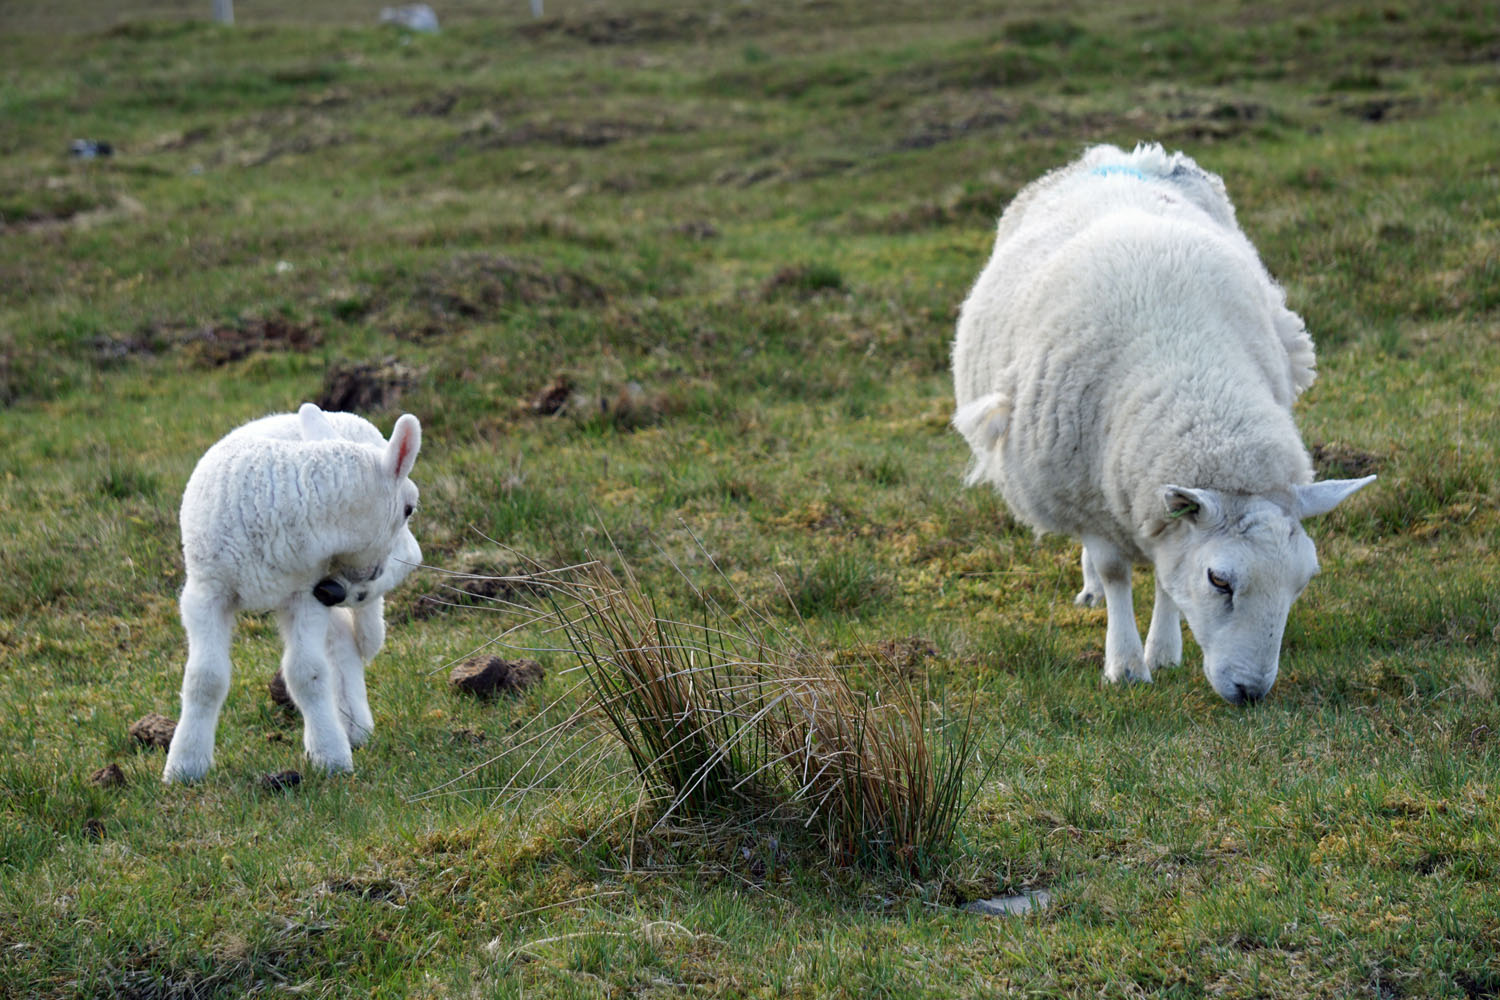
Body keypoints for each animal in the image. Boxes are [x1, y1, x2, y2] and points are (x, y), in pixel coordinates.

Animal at [163, 404, 422, 782]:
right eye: (408, 508)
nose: (368, 573)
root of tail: (339, 414)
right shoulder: (206, 592)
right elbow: (204, 678)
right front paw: (185, 765)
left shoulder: (305, 594)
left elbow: (307, 673)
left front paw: (330, 757)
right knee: (343, 637)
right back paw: (352, 725)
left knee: (405, 562)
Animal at [951, 143, 1373, 704]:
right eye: (1220, 581)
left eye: (1302, 581)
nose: (1251, 691)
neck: (1190, 373)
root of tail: (1116, 154)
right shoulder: (1087, 492)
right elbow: (1114, 571)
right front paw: (1126, 665)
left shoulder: (1156, 502)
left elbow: (1168, 576)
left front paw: (1164, 652)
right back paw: (1090, 590)